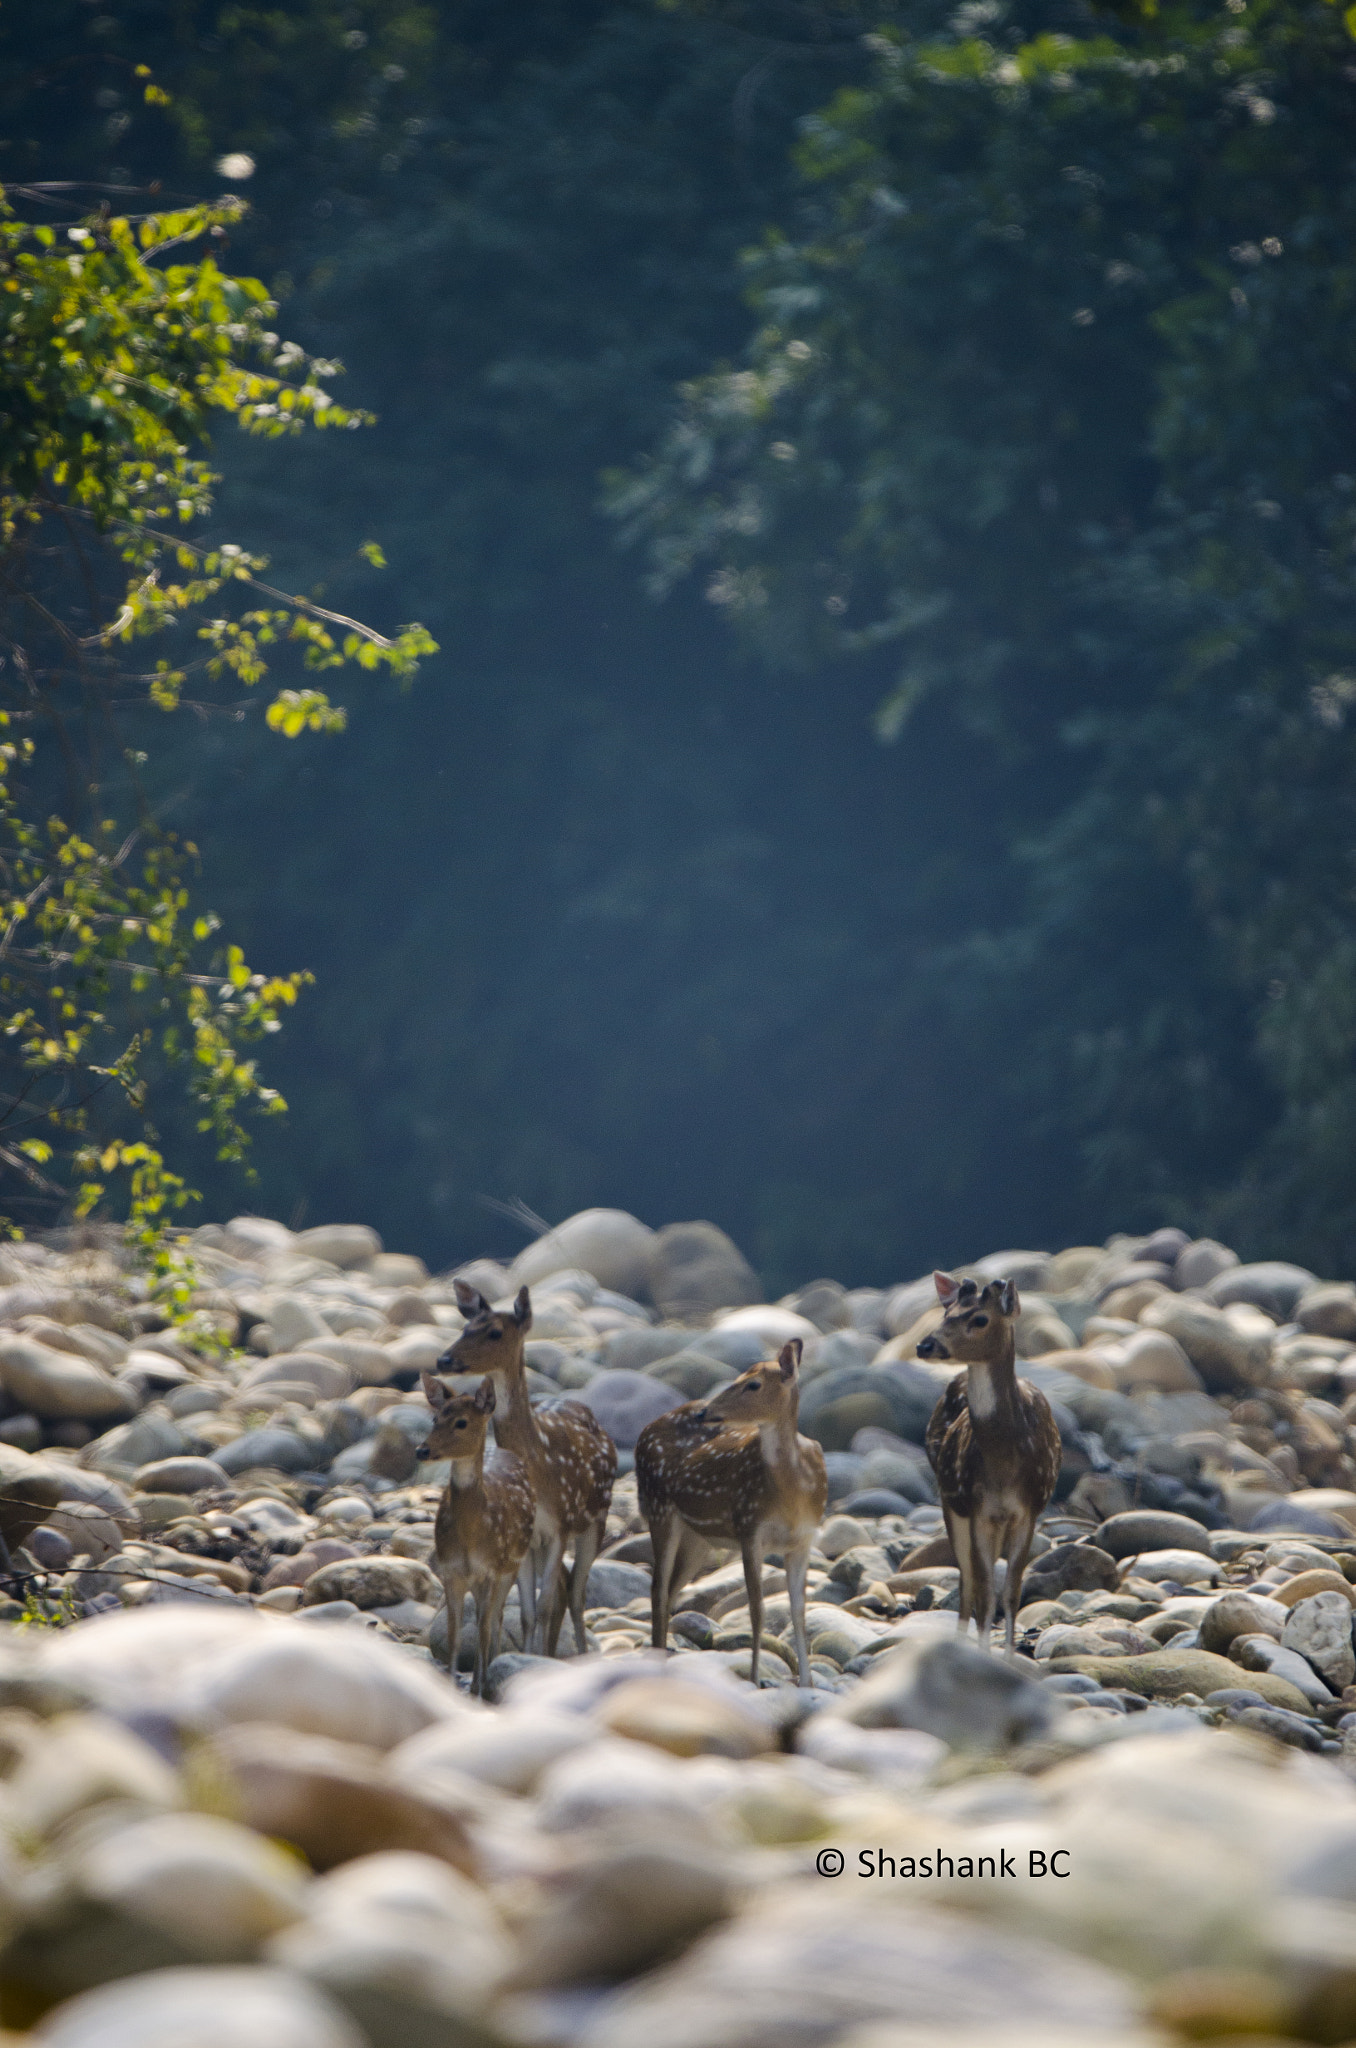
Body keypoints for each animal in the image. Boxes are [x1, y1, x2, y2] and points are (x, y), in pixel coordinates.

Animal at [419, 1376, 536, 1695]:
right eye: (434, 1418)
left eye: (461, 1422)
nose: (422, 1450)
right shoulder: (451, 1571)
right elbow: (454, 1634)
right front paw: (454, 1685)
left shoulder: (492, 1569)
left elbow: (482, 1630)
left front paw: (479, 1689)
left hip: (512, 1566)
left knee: (495, 1619)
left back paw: (488, 1676)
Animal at [438, 1286, 618, 1654]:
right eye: (465, 1328)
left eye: (495, 1332)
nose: (444, 1360)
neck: (541, 1465)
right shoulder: (526, 1538)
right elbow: (527, 1613)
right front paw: (526, 1657)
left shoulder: (561, 1525)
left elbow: (545, 1605)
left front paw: (539, 1658)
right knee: (565, 1587)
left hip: (597, 1516)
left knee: (576, 1593)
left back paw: (580, 1652)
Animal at [639, 1343, 827, 1679]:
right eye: (738, 1376)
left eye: (753, 1384)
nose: (704, 1413)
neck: (792, 1496)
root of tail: (643, 1432)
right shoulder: (748, 1528)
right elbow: (757, 1610)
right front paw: (755, 1679)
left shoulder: (804, 1540)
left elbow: (798, 1612)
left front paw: (807, 1682)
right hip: (659, 1510)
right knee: (658, 1588)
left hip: (697, 1538)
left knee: (671, 1590)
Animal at [917, 1269, 1065, 1654]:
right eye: (946, 1313)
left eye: (980, 1319)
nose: (925, 1345)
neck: (1004, 1463)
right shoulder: (977, 1509)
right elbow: (984, 1596)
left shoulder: (1029, 1510)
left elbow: (1012, 1593)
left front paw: (1009, 1657)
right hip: (950, 1501)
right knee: (966, 1584)